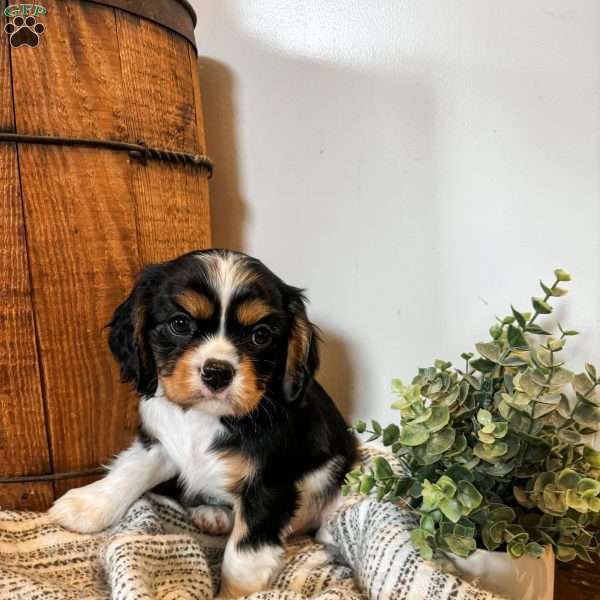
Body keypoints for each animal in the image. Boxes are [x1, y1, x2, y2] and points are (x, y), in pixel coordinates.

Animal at [50, 247, 356, 596]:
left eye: (261, 335)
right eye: (180, 324)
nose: (217, 372)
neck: (206, 417)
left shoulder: (269, 486)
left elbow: (242, 560)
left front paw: (230, 596)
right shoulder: (160, 442)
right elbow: (131, 470)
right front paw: (87, 504)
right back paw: (214, 514)